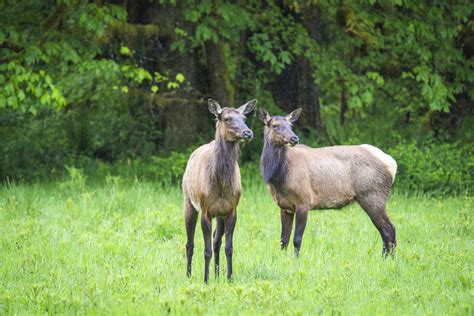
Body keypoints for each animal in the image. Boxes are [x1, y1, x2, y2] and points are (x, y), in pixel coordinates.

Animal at [182, 97, 256, 282]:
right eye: (226, 118)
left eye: (244, 118)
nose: (248, 133)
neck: (221, 185)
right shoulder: (205, 210)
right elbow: (206, 250)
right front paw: (205, 280)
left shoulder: (231, 210)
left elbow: (228, 247)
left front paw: (229, 278)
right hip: (188, 201)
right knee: (189, 243)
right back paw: (188, 275)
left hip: (220, 215)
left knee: (217, 241)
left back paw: (217, 275)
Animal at [260, 108, 396, 256]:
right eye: (275, 126)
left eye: (290, 125)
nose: (294, 138)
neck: (278, 177)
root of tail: (392, 164)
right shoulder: (285, 207)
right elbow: (283, 240)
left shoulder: (304, 201)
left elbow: (297, 239)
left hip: (372, 196)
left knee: (389, 229)